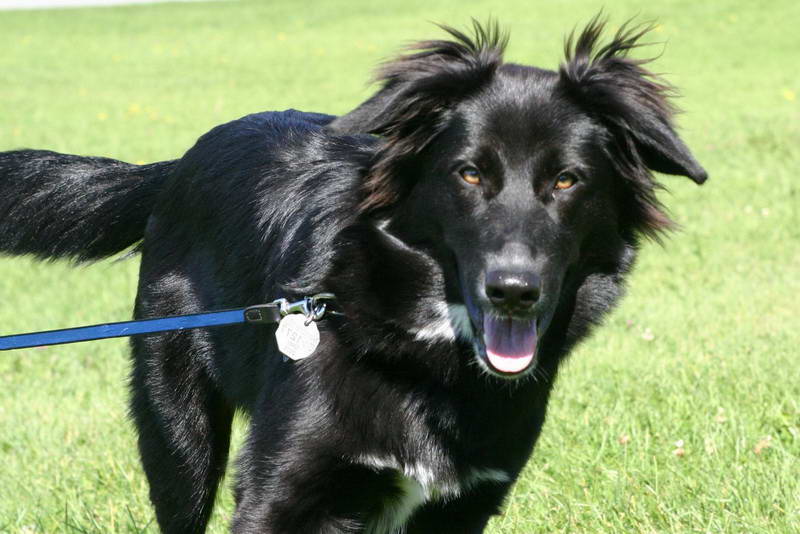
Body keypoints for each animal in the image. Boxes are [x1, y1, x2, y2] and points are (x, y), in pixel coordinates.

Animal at [3, 16, 708, 534]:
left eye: (567, 180)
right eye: (469, 173)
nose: (513, 291)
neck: (427, 352)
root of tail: (179, 164)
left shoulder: (463, 505)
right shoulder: (282, 493)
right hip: (179, 431)